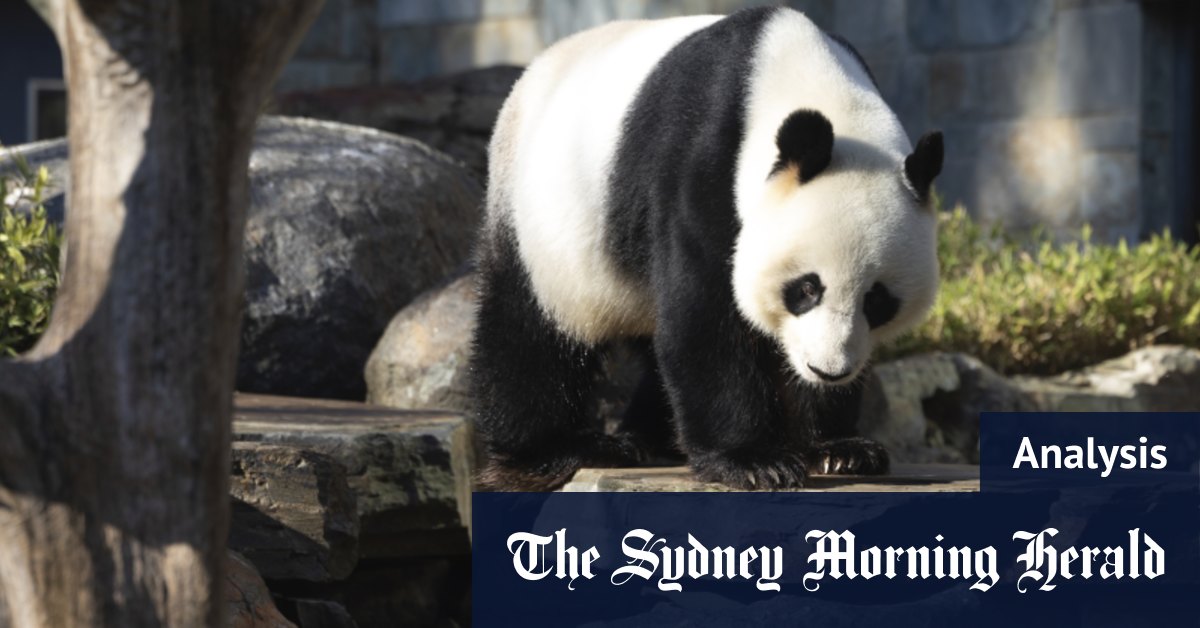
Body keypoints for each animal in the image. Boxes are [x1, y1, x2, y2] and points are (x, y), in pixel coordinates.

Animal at [470, 6, 943, 491]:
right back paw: (551, 452)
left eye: (878, 300)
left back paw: (648, 437)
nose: (827, 370)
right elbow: (705, 314)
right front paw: (754, 462)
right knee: (531, 331)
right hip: (543, 222)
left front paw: (838, 449)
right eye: (806, 288)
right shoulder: (701, 164)